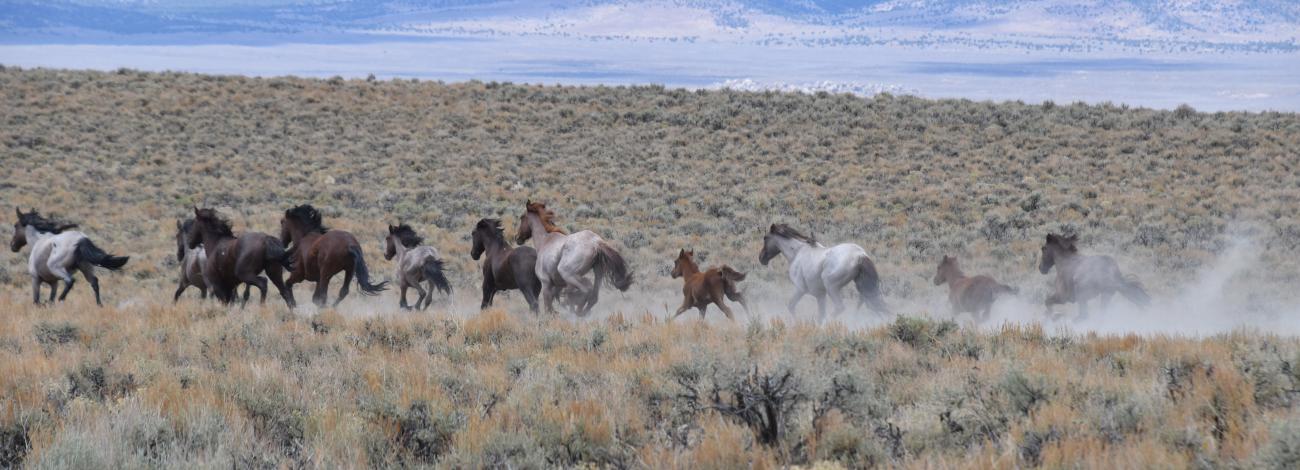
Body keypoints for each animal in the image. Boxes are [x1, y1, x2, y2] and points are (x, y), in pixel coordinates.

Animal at [759, 223, 889, 321]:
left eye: (765, 238)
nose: (761, 258)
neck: (797, 252)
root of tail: (860, 255)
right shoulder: (820, 295)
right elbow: (821, 314)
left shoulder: (800, 289)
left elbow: (791, 306)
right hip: (860, 286)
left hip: (832, 287)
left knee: (840, 307)